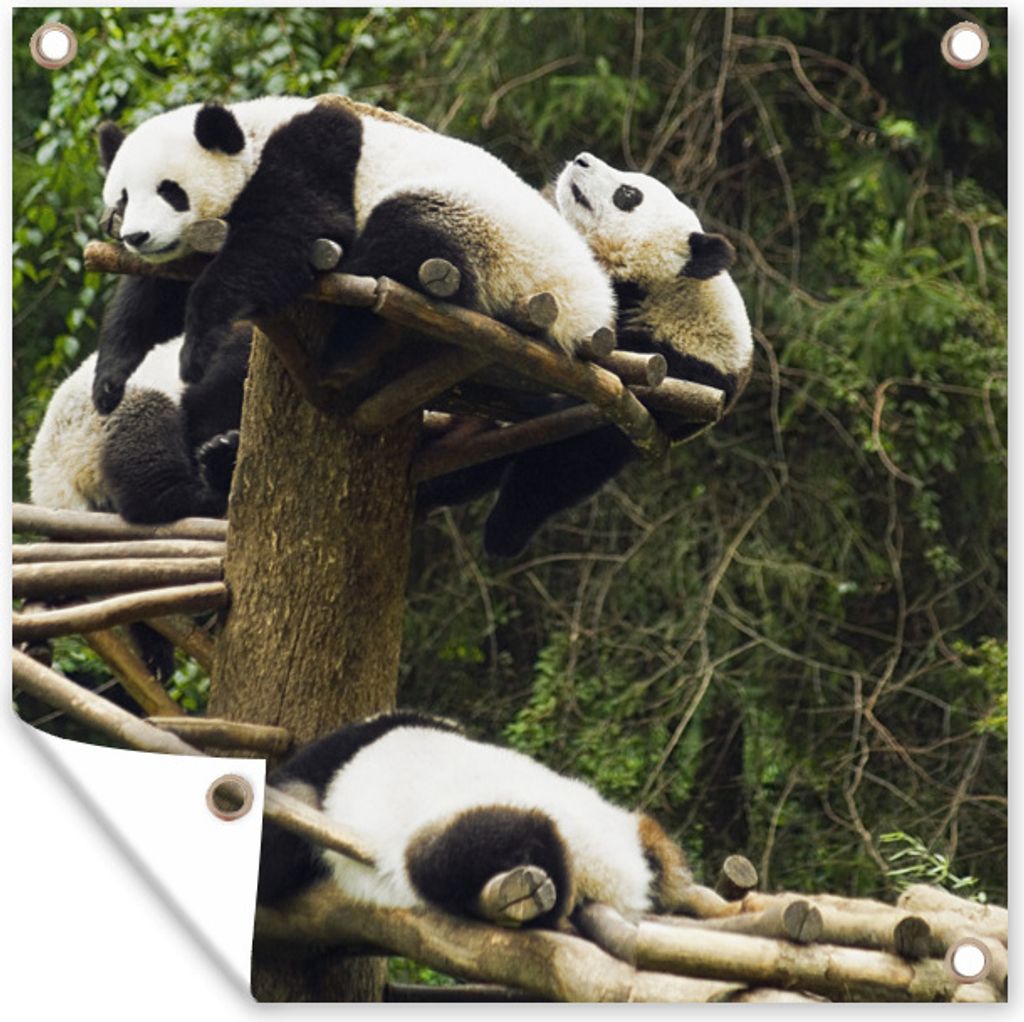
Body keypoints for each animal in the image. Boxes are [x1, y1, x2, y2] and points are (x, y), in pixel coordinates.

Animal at [92, 94, 615, 412]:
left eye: (170, 191)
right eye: (123, 198)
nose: (137, 237)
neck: (254, 131)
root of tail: (588, 309)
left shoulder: (313, 153)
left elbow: (290, 233)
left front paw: (196, 352)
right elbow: (151, 296)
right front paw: (109, 382)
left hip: (488, 235)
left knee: (400, 241)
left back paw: (341, 348)